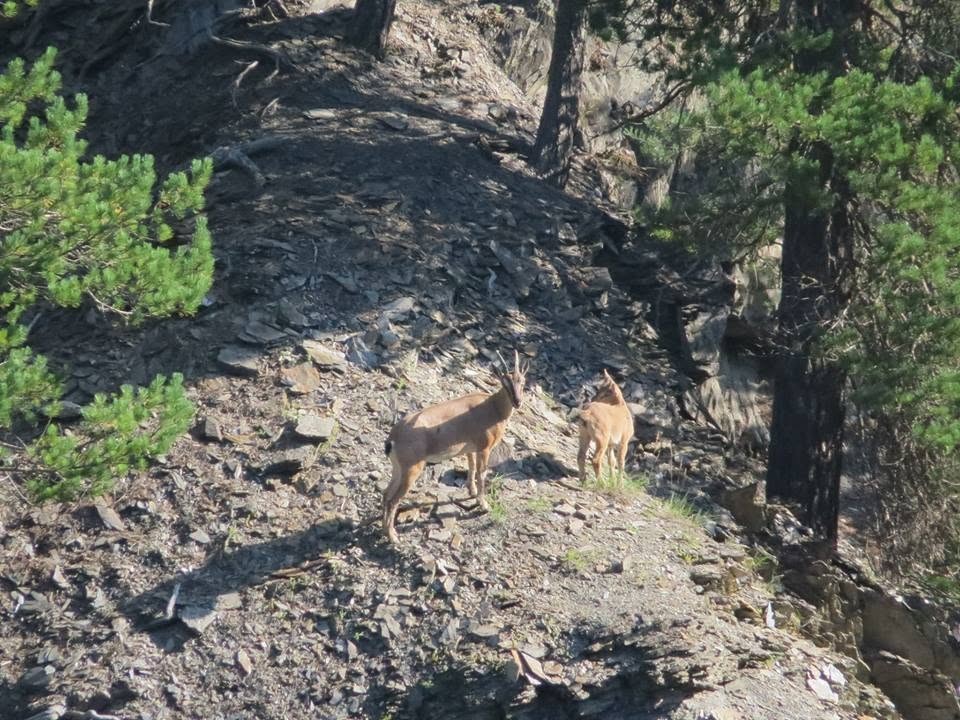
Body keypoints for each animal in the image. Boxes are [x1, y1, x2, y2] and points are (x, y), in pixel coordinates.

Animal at [382, 350, 529, 544]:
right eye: (505, 383)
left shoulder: (471, 449)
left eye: (522, 381)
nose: (518, 402)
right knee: (393, 500)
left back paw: (384, 529)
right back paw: (393, 537)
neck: (493, 408)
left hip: (398, 469)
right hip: (412, 470)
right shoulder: (484, 448)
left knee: (386, 494)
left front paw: (472, 492)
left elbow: (471, 467)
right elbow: (481, 472)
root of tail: (393, 438)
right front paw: (484, 505)